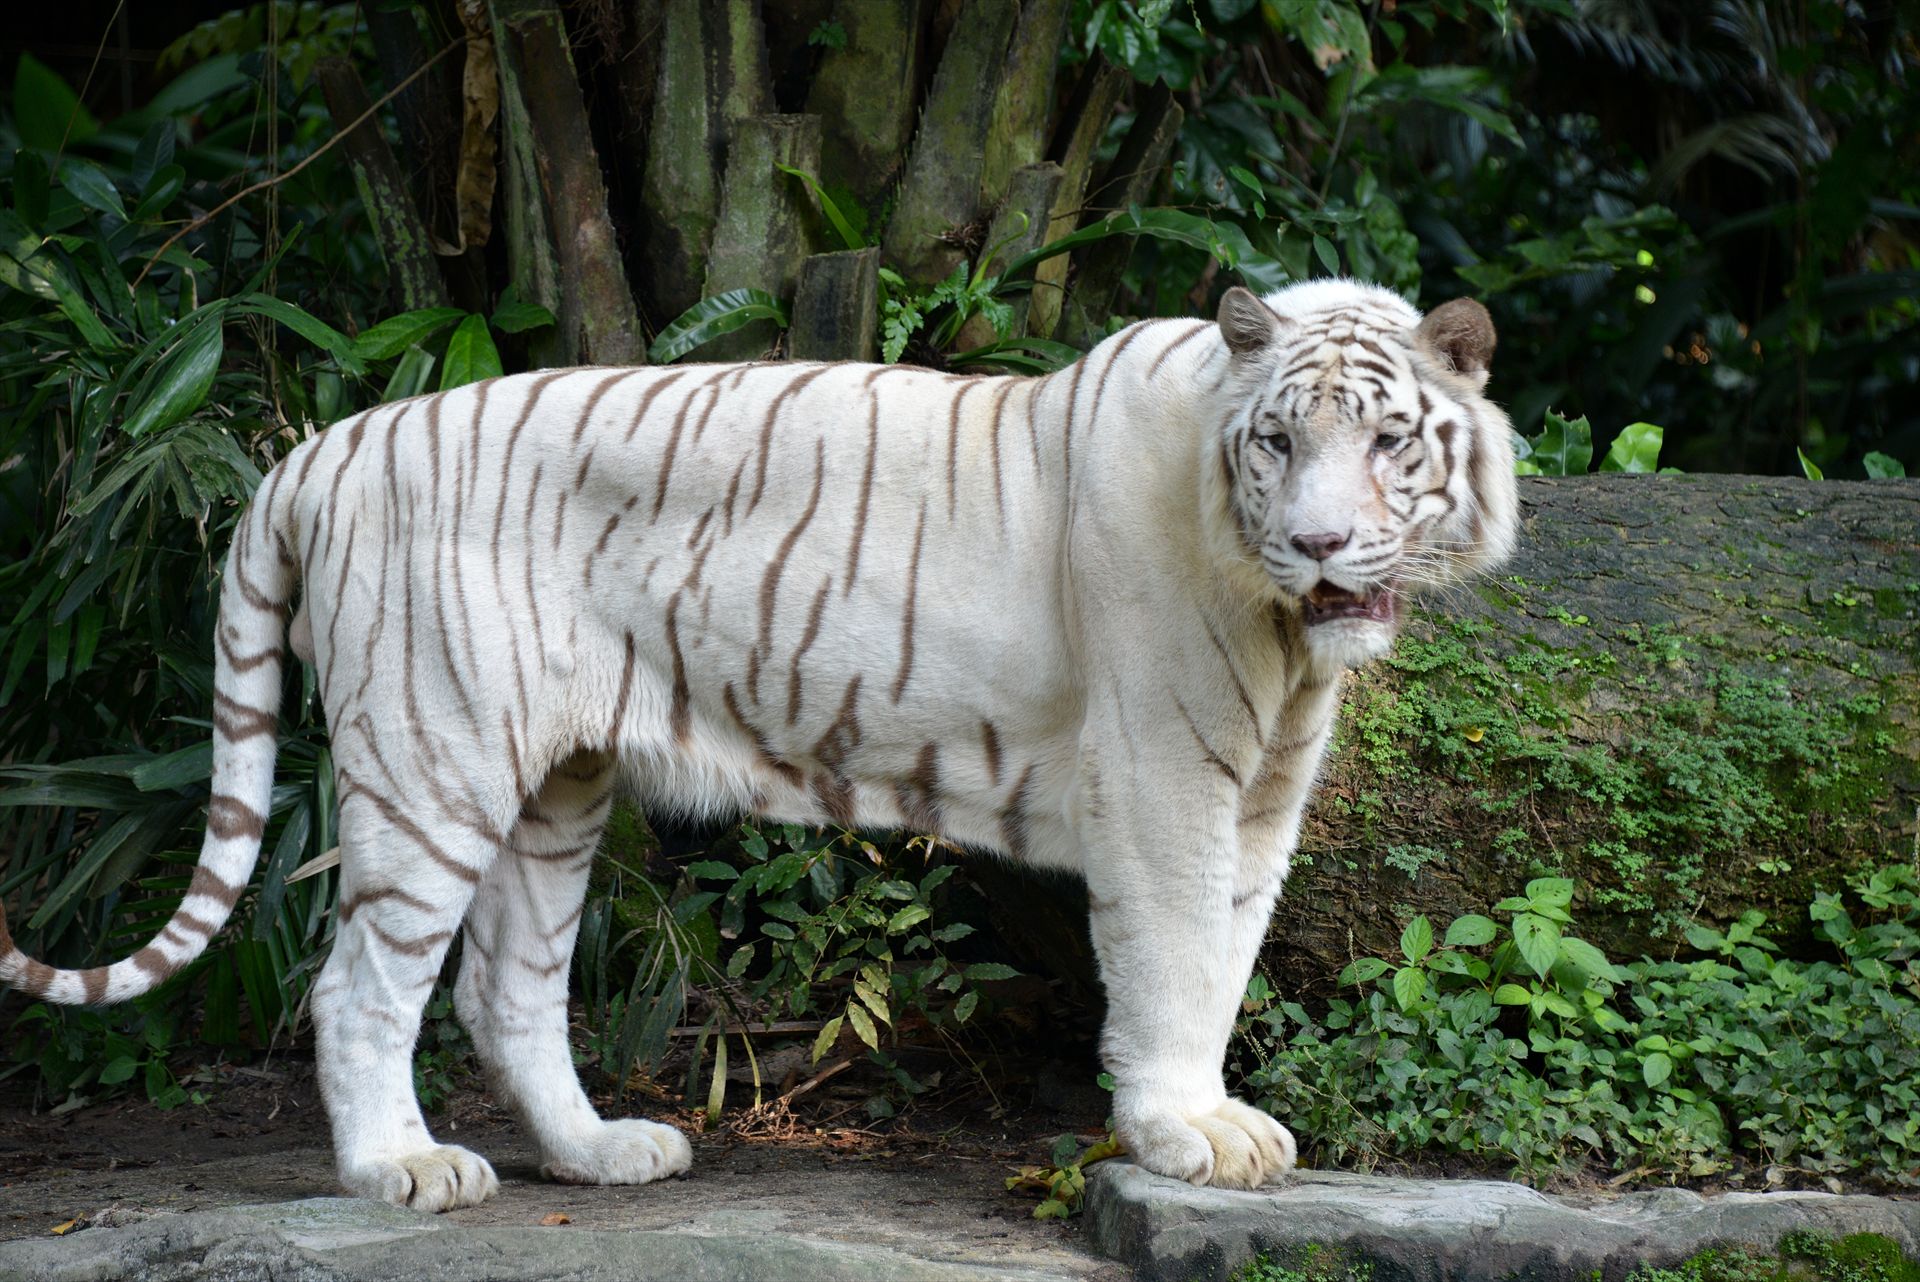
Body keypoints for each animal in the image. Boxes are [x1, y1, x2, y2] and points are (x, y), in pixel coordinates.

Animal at [0, 279, 1516, 1209]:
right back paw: (400, 1169)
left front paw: (1210, 1120)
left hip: (559, 782)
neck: (1283, 635)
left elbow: (1228, 955)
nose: (1319, 543)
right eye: (1276, 444)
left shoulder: (1258, 794)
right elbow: (1174, 963)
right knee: (359, 984)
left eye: (1390, 443)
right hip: (436, 758)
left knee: (506, 985)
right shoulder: (1162, 778)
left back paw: (600, 1150)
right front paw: (1180, 1131)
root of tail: (322, 448)